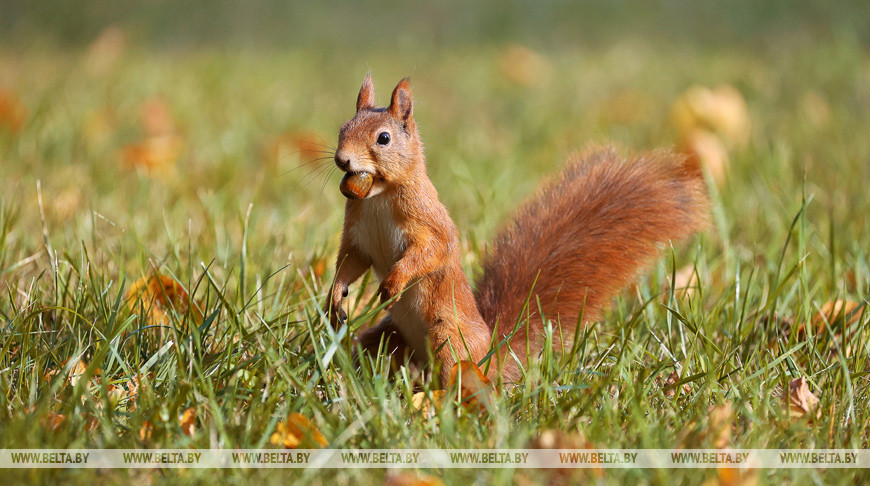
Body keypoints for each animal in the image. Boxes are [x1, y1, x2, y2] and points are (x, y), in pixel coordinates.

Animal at [328, 75, 708, 384]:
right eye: (342, 128)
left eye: (384, 138)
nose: (342, 160)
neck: (379, 195)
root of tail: (490, 356)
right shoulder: (358, 234)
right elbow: (350, 262)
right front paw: (334, 299)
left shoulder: (428, 222)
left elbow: (430, 252)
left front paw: (394, 281)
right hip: (385, 338)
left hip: (449, 338)